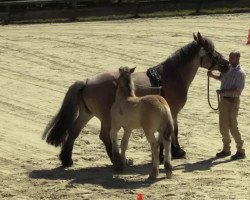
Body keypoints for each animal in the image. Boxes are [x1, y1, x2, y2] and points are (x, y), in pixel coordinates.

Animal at [42, 32, 229, 167]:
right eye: (212, 52)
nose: (226, 64)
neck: (172, 75)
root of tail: (87, 82)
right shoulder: (173, 111)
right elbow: (174, 131)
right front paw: (176, 152)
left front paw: (165, 154)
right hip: (106, 117)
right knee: (105, 135)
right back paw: (117, 160)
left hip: (86, 114)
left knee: (74, 131)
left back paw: (67, 160)